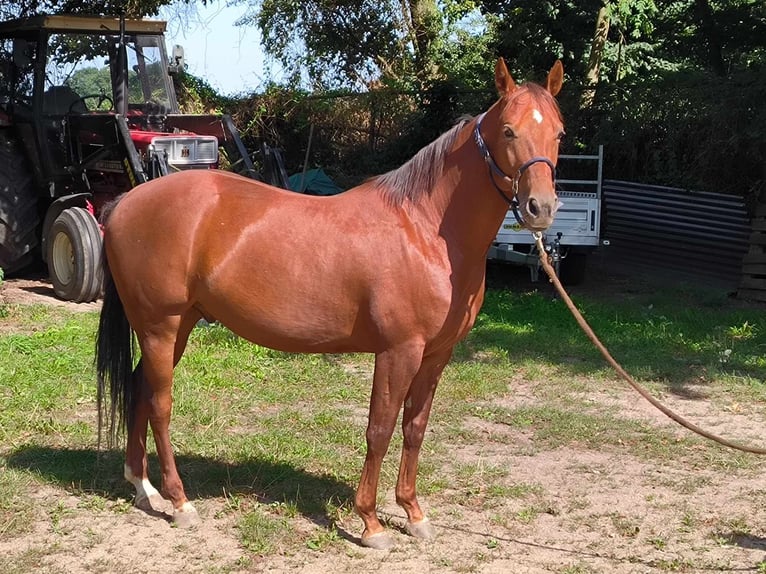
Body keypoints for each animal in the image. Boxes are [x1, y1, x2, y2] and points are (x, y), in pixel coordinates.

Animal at [94, 57, 564, 548]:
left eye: (559, 132)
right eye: (508, 131)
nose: (541, 208)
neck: (425, 230)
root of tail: (125, 202)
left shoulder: (437, 354)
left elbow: (414, 428)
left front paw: (413, 513)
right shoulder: (399, 351)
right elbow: (379, 429)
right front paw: (371, 522)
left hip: (178, 326)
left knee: (139, 389)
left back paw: (144, 488)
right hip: (160, 327)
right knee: (160, 404)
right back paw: (180, 502)